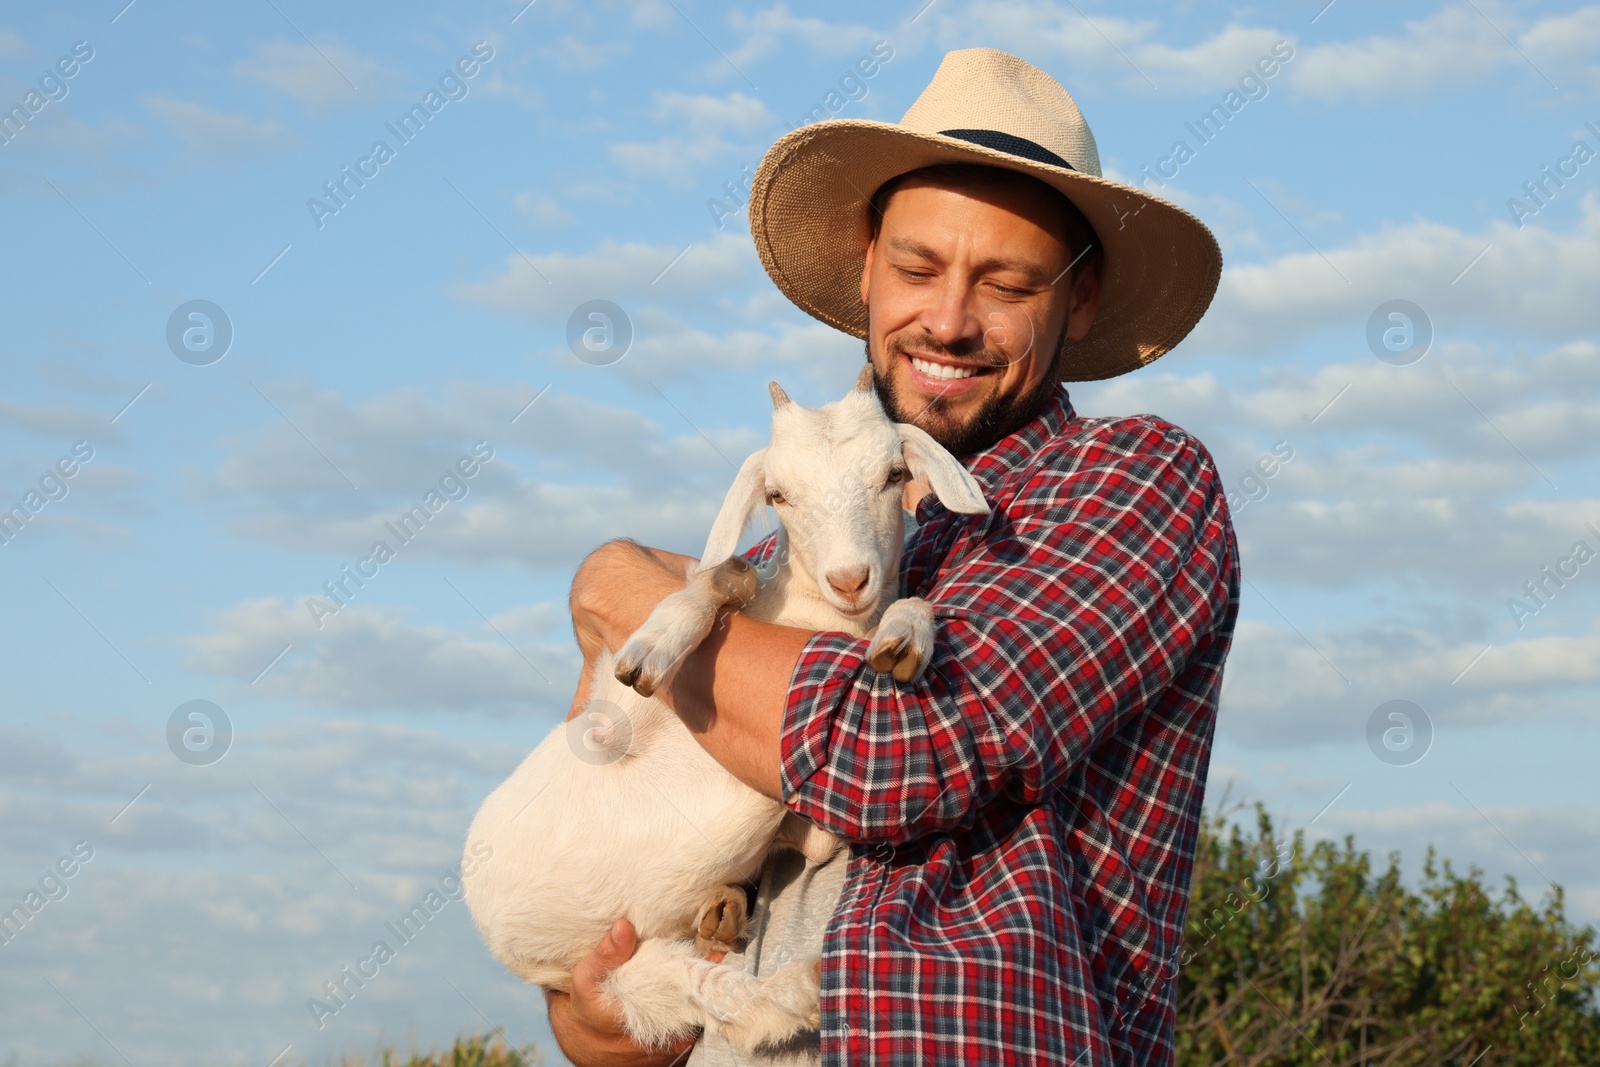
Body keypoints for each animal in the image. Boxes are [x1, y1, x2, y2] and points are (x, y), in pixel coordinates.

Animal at [460, 371, 985, 1055]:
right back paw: (791, 975)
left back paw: (767, 955)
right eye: (777, 494)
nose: (849, 581)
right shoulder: (605, 724)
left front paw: (904, 638)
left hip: (631, 966)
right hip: (611, 965)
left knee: (718, 998)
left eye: (895, 475)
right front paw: (651, 648)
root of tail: (509, 945)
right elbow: (725, 575)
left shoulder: (811, 827)